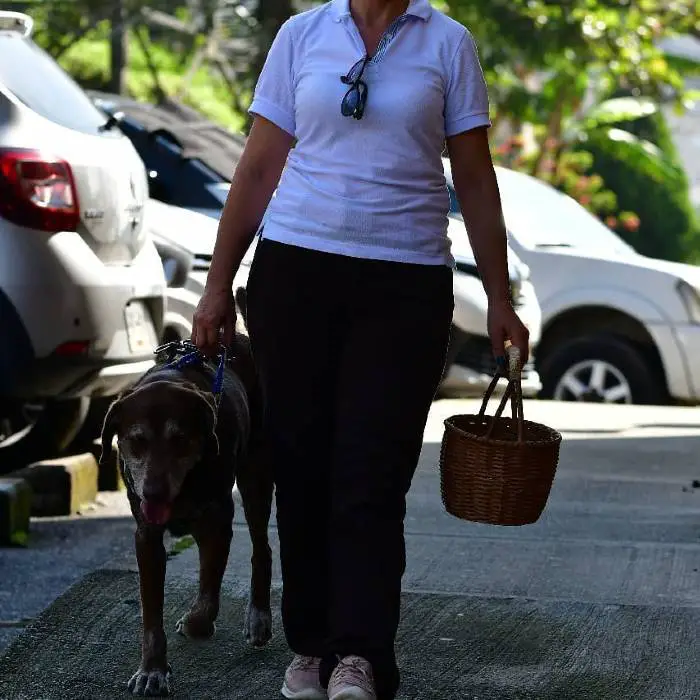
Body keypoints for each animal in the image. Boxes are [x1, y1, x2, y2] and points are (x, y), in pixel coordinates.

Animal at [100, 298, 274, 696]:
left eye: (179, 439)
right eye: (136, 440)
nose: (153, 492)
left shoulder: (218, 520)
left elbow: (210, 588)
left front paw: (197, 623)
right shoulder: (146, 536)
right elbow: (151, 615)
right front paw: (152, 669)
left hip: (256, 476)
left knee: (262, 546)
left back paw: (258, 617)